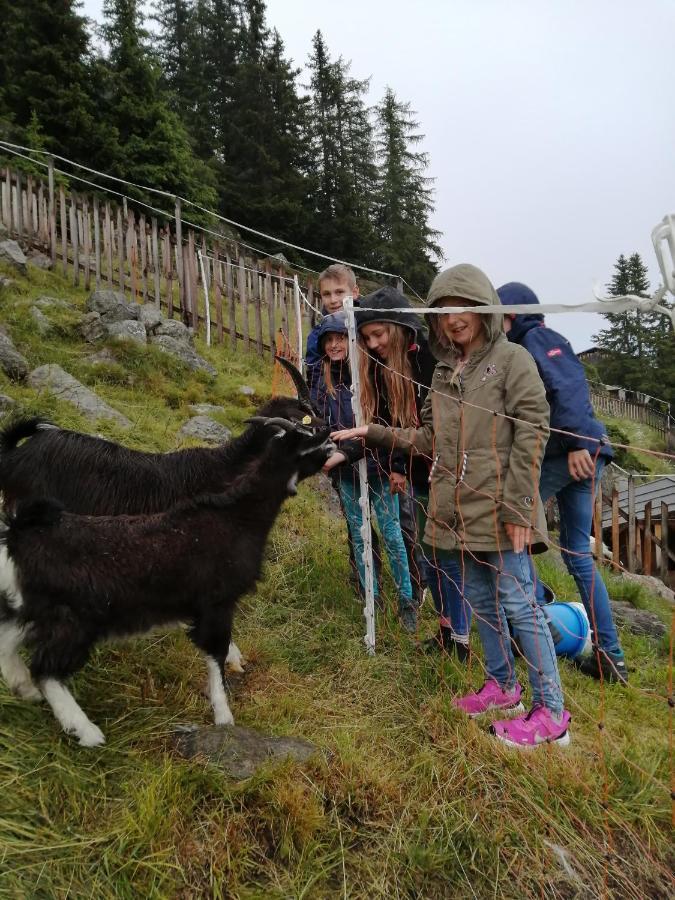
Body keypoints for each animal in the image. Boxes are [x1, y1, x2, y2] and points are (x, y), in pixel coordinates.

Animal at [0, 420, 332, 744]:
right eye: (304, 440)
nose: (330, 436)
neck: (238, 518)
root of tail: (19, 535)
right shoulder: (217, 603)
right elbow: (216, 652)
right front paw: (224, 716)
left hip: (39, 609)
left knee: (8, 641)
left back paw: (23, 688)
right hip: (76, 620)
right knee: (45, 668)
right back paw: (85, 730)